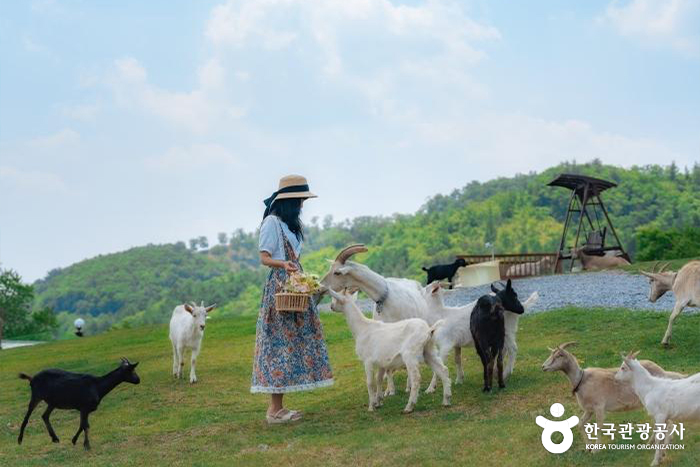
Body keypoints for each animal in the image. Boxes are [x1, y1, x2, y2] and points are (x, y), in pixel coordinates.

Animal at [540, 344, 684, 450]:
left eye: (559, 355)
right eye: (551, 354)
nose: (543, 366)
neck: (581, 379)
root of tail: (663, 372)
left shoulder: (599, 406)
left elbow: (598, 427)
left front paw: (596, 449)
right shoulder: (589, 409)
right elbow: (580, 424)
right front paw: (589, 447)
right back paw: (651, 443)